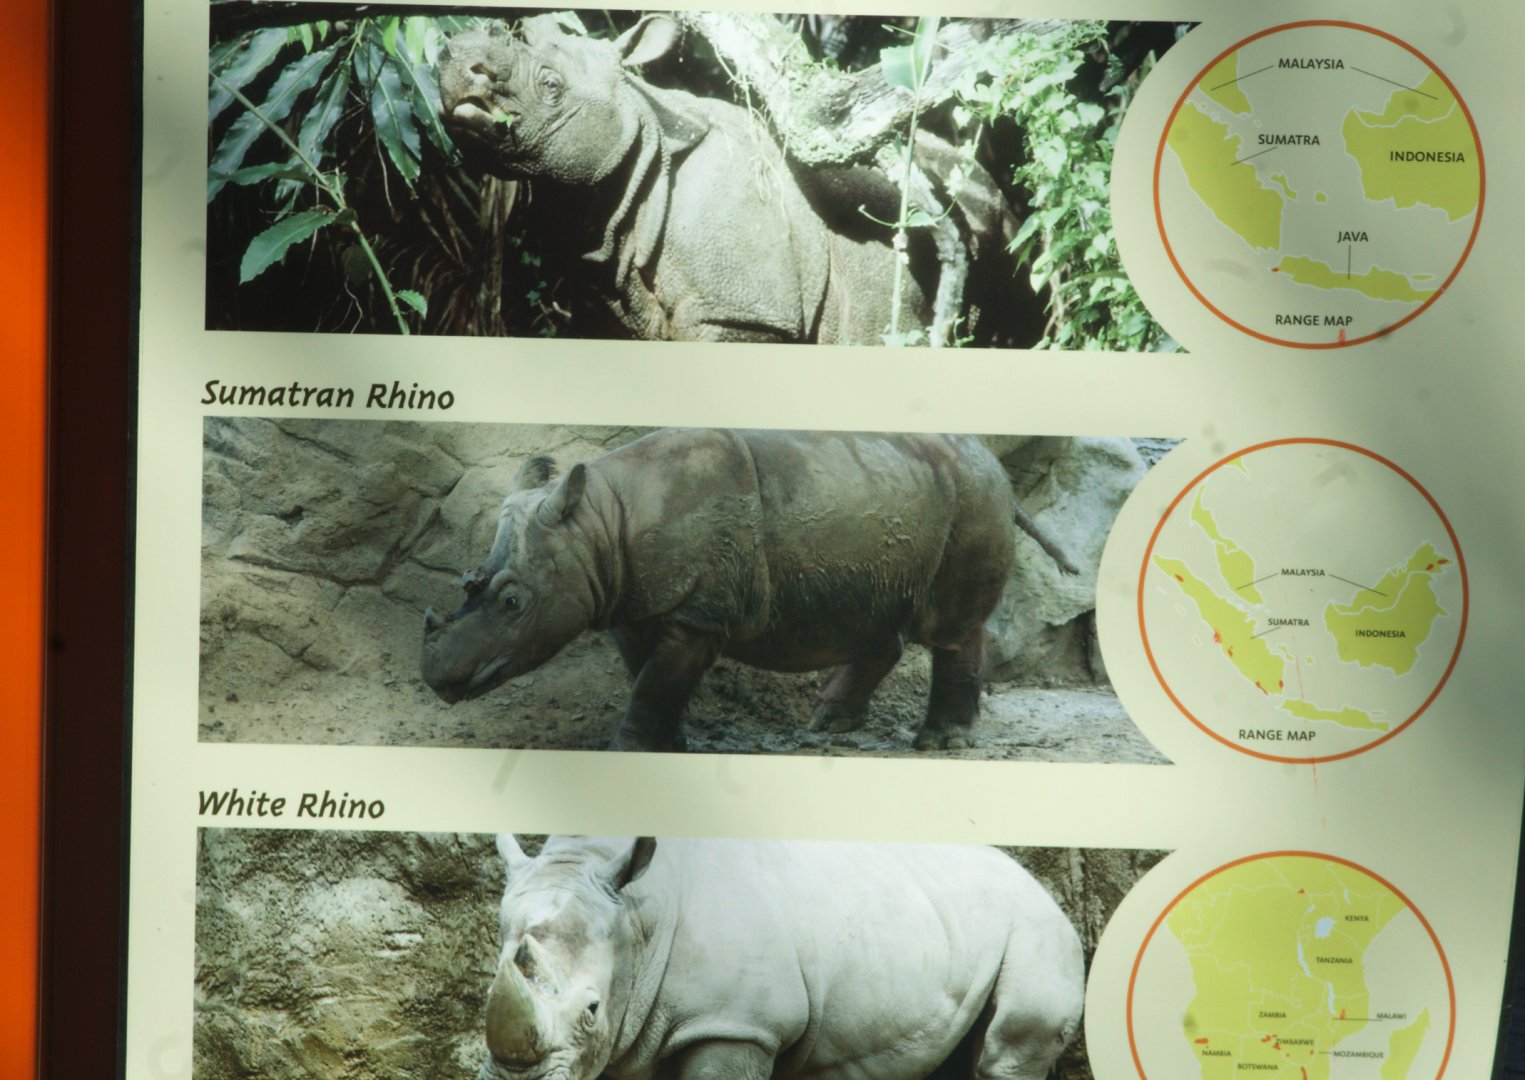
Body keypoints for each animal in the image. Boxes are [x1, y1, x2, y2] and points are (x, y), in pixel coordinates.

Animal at [420, 428, 1077, 752]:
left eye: (512, 603)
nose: (435, 678)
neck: (601, 525)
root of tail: (1000, 470)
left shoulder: (698, 612)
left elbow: (657, 680)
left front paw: (626, 749)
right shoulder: (636, 600)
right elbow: (647, 677)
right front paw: (669, 743)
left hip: (973, 498)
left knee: (951, 626)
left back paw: (940, 742)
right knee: (875, 613)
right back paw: (827, 725)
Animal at [480, 835, 1084, 1080]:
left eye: (591, 1010)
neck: (636, 919)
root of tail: (1050, 894)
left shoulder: (737, 1024)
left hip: (1038, 931)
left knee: (1004, 1054)